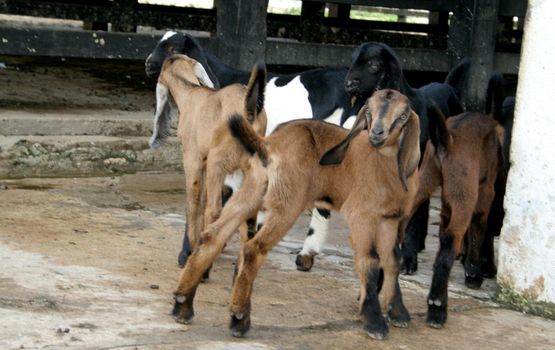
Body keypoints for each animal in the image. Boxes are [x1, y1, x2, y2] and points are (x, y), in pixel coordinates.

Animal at [150, 53, 268, 270]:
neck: (191, 91)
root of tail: (249, 111)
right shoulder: (205, 160)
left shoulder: (193, 157)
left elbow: (194, 200)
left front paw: (186, 253)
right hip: (252, 168)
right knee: (248, 214)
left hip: (219, 161)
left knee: (214, 210)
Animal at [172, 89, 420, 340]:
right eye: (368, 110)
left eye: (403, 115)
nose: (377, 134)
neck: (384, 165)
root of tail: (269, 144)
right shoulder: (362, 216)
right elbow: (369, 260)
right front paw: (374, 321)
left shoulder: (390, 220)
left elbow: (392, 260)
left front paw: (398, 312)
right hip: (288, 202)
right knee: (253, 248)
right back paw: (239, 317)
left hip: (253, 190)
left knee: (212, 236)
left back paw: (183, 304)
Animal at [410, 74, 506, 328]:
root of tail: (446, 139)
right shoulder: (484, 193)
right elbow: (479, 228)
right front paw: (474, 271)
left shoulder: (447, 203)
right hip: (466, 198)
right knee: (449, 245)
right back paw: (437, 306)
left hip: (422, 184)